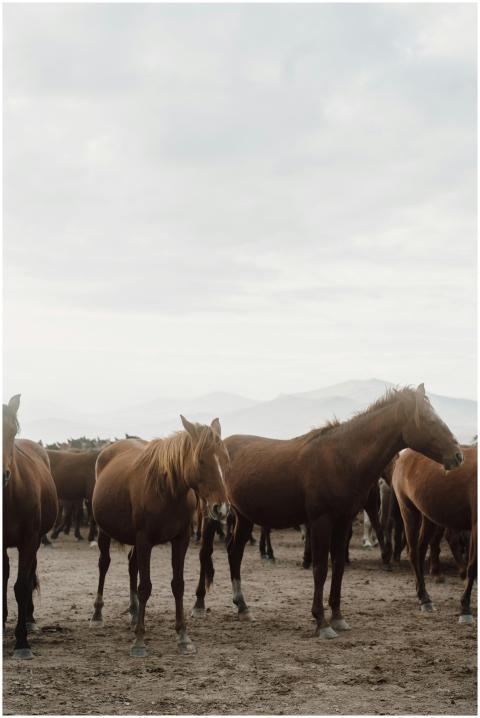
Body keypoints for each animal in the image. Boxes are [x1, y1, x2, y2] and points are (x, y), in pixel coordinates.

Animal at [90, 416, 229, 657]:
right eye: (201, 460)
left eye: (224, 458)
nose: (220, 508)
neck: (168, 490)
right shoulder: (145, 540)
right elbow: (145, 586)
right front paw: (139, 640)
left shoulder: (180, 540)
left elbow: (178, 584)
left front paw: (183, 636)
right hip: (104, 532)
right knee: (104, 564)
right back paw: (98, 614)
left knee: (131, 565)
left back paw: (134, 612)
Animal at [194, 385, 462, 638]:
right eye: (429, 420)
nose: (458, 455)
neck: (342, 458)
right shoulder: (321, 521)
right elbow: (321, 569)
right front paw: (321, 622)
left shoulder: (343, 521)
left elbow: (339, 567)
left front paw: (338, 617)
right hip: (213, 514)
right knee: (206, 553)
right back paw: (199, 604)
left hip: (244, 517)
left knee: (234, 554)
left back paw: (242, 607)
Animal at [392, 445, 476, 623]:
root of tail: (404, 454)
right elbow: (472, 565)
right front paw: (465, 609)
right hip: (409, 511)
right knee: (413, 552)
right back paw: (425, 599)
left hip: (429, 516)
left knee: (421, 550)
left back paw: (423, 595)